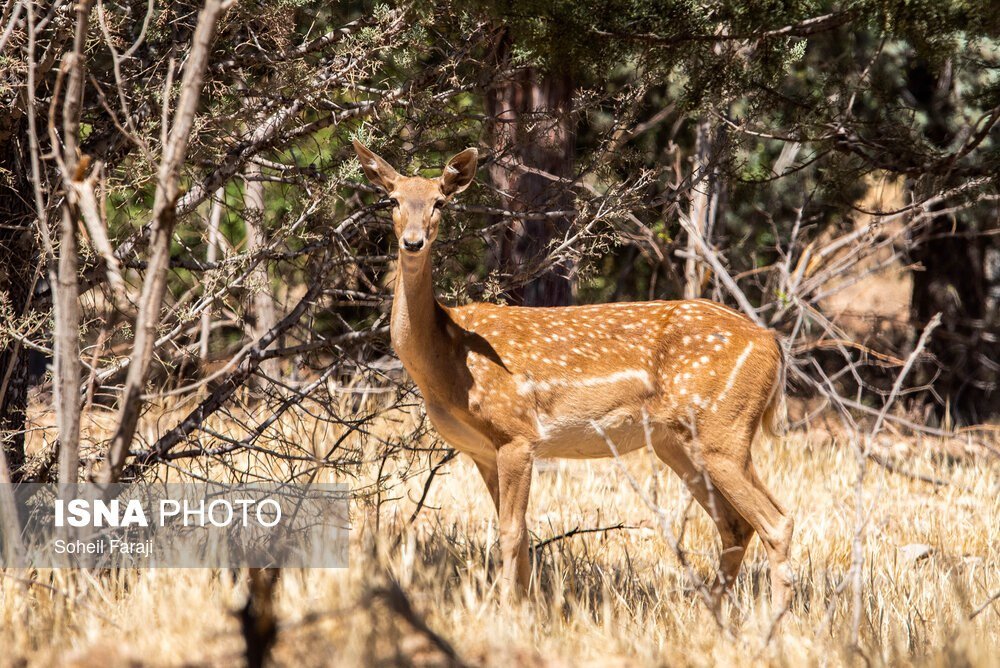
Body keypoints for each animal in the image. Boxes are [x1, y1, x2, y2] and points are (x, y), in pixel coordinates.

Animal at [352, 140, 796, 616]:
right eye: (392, 200)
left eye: (440, 201)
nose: (413, 241)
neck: (447, 359)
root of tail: (772, 342)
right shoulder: (482, 452)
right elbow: (520, 533)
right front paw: (525, 607)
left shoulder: (517, 434)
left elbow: (510, 532)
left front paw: (507, 611)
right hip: (677, 441)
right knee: (735, 524)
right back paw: (709, 610)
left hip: (723, 430)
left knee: (776, 521)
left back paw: (770, 620)